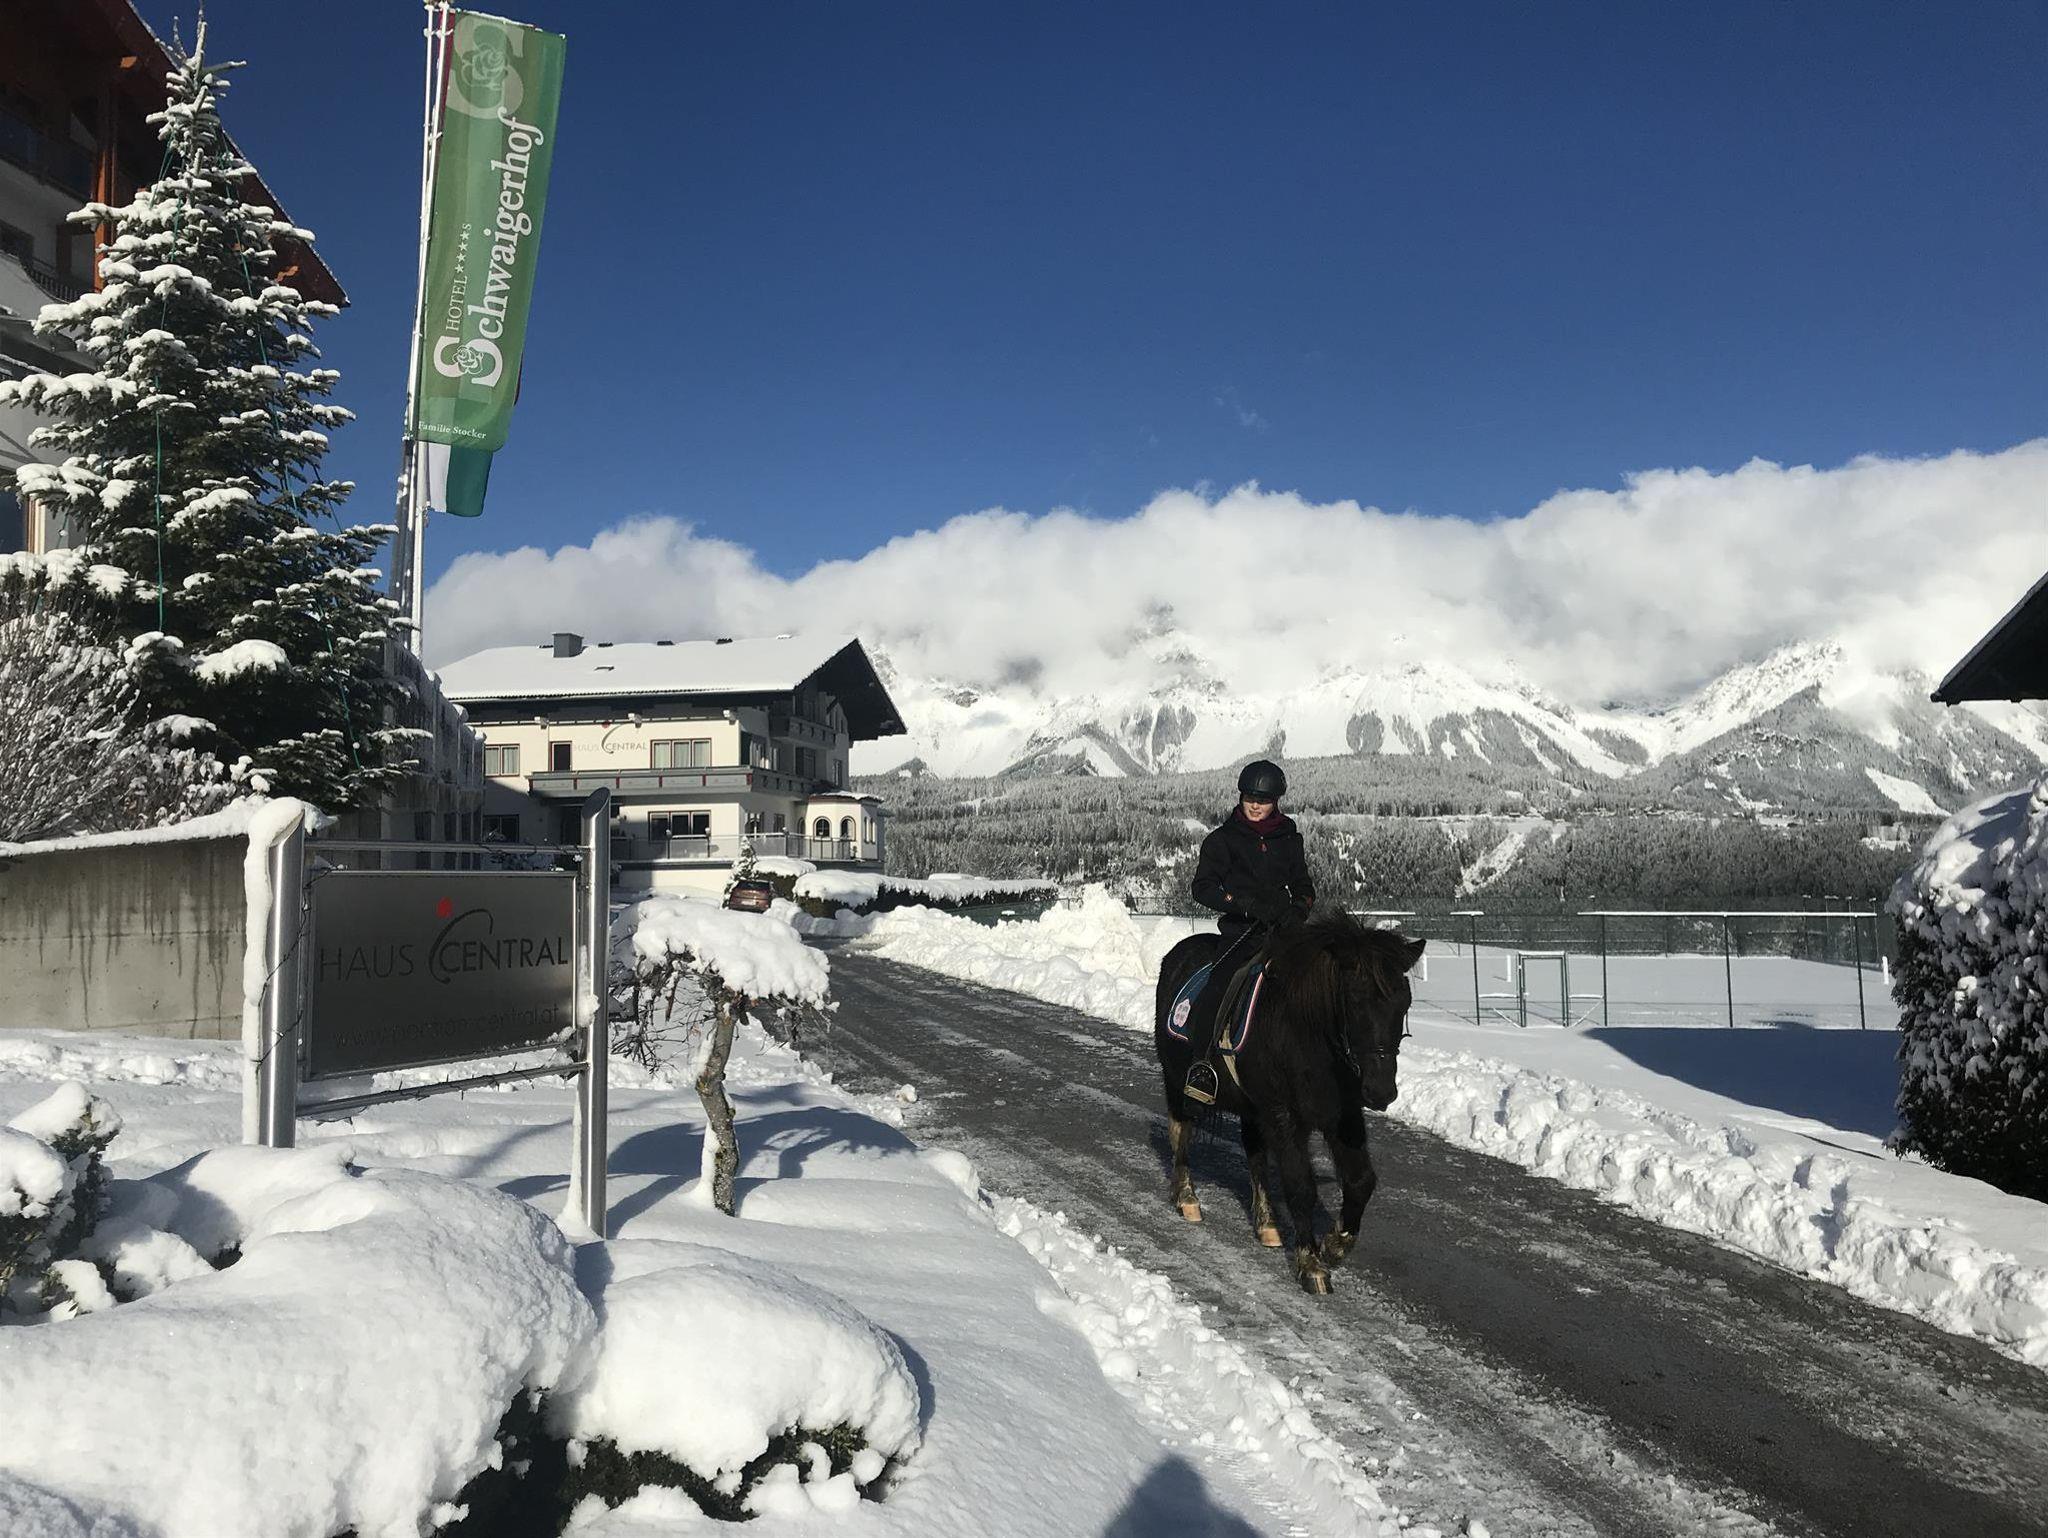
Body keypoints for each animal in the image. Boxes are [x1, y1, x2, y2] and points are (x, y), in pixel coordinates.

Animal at [1154, 911, 1425, 1294]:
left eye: (1404, 1003)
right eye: (1355, 1001)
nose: (1381, 1091)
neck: (1307, 1034)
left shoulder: (1342, 1116)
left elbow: (1361, 1180)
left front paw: (1336, 1244)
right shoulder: (1284, 1116)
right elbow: (1300, 1187)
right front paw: (1311, 1264)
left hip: (1252, 1109)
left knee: (1254, 1154)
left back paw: (1266, 1224)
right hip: (1177, 1080)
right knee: (1181, 1131)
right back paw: (1186, 1197)